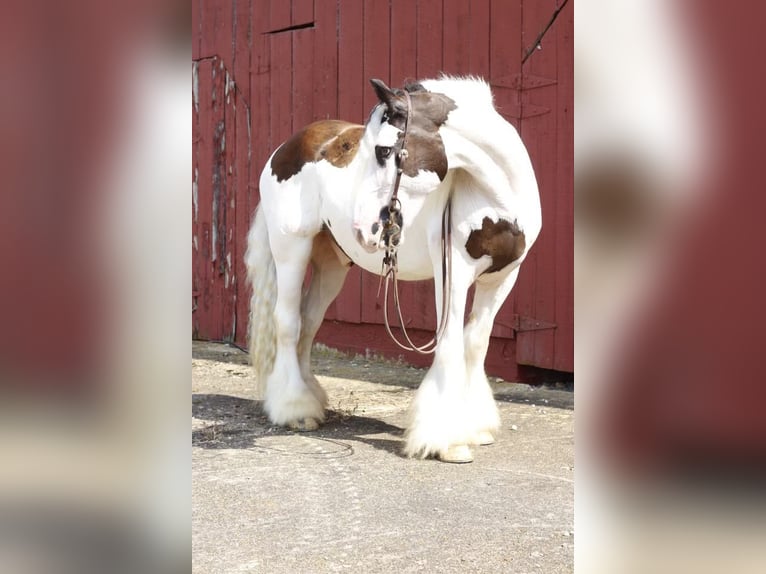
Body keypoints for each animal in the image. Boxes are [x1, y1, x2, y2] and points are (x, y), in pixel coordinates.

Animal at [244, 76, 540, 464]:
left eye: (384, 151)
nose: (362, 227)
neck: (495, 197)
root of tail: (284, 150)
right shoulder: (454, 273)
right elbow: (450, 343)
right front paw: (446, 440)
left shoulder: (504, 277)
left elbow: (476, 343)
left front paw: (476, 427)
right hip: (292, 249)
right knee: (288, 322)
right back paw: (295, 409)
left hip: (331, 265)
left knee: (308, 323)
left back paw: (312, 399)